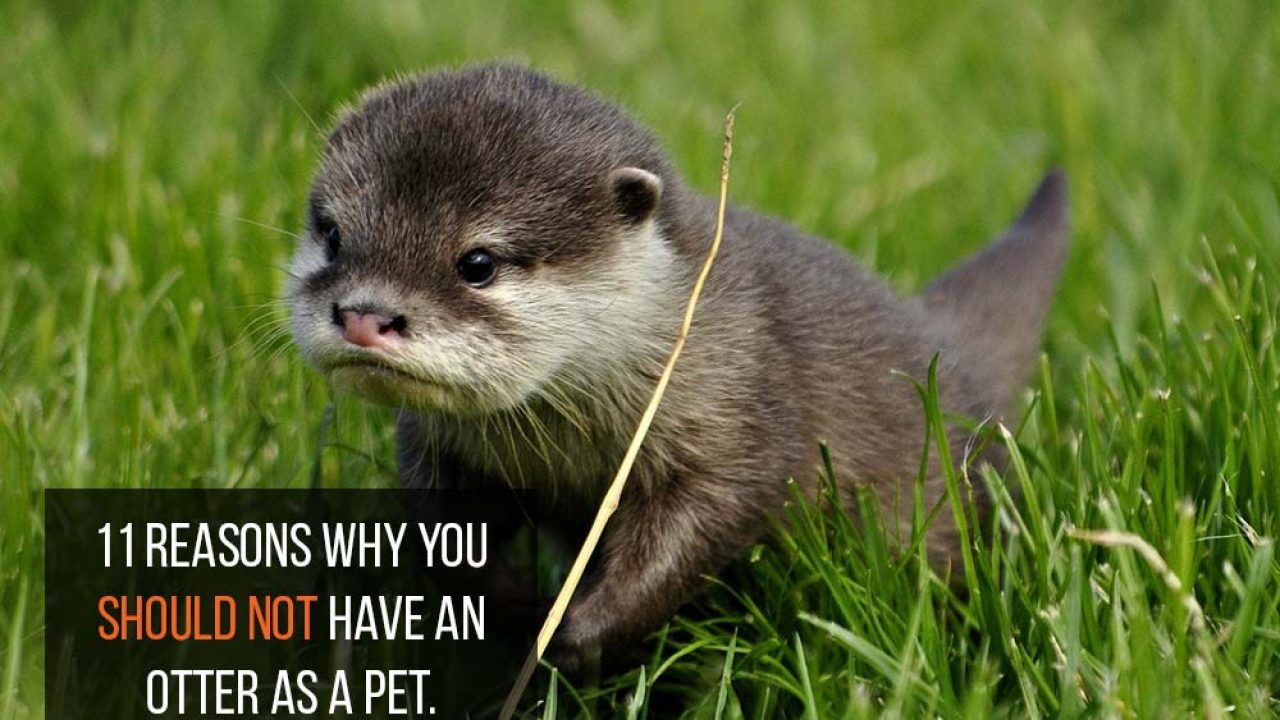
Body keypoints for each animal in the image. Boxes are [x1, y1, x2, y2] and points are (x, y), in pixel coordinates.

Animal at [288, 62, 1069, 669]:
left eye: (477, 262)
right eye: (332, 233)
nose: (364, 316)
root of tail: (944, 344)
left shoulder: (736, 413)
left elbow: (704, 526)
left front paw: (577, 633)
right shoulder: (440, 446)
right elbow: (440, 533)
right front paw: (516, 607)